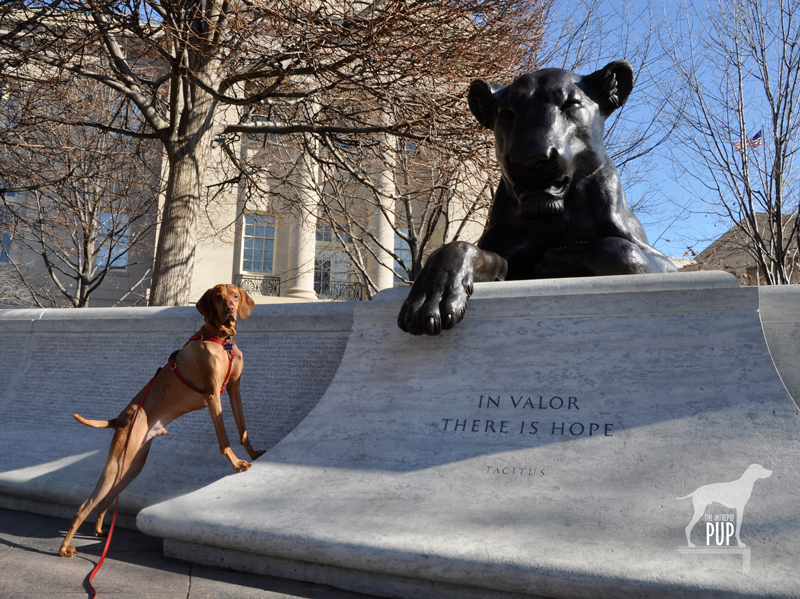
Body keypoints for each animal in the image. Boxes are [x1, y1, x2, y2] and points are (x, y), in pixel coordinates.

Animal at [60, 284, 266, 556]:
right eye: (218, 298)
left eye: (234, 296)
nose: (231, 309)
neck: (222, 341)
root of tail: (121, 418)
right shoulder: (213, 395)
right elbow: (224, 439)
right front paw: (236, 463)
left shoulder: (234, 390)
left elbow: (243, 429)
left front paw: (253, 453)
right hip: (117, 463)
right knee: (85, 505)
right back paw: (65, 546)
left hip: (132, 465)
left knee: (104, 501)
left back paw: (100, 530)